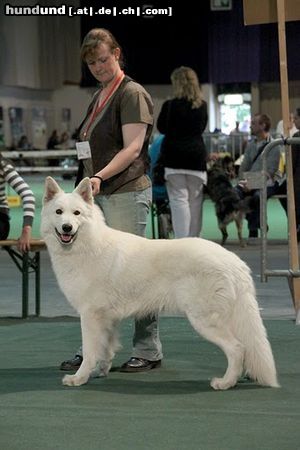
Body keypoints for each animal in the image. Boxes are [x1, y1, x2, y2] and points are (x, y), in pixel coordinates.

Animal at [40, 178, 278, 388]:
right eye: (59, 212)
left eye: (77, 213)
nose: (67, 228)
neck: (88, 244)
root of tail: (234, 262)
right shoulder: (107, 319)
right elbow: (105, 349)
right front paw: (100, 371)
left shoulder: (90, 315)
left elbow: (90, 352)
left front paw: (79, 378)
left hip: (204, 320)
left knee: (237, 348)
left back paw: (226, 382)